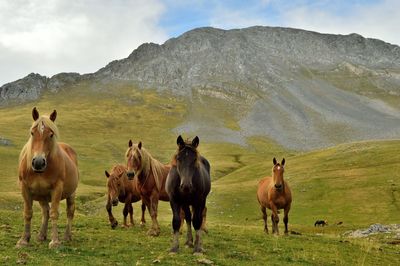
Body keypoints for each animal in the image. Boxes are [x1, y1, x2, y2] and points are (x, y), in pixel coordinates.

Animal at [16, 107, 79, 248]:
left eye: (51, 134)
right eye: (32, 133)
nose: (38, 162)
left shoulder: (57, 188)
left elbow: (55, 213)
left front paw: (55, 241)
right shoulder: (25, 188)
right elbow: (28, 213)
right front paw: (24, 240)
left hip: (71, 193)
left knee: (70, 211)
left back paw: (67, 236)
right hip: (42, 196)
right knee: (45, 212)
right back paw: (41, 235)